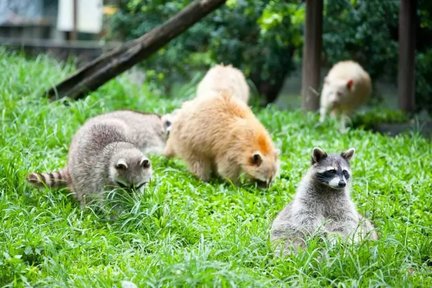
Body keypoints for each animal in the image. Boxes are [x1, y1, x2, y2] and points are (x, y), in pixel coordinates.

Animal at [26, 109, 166, 205]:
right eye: (123, 186)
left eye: (138, 186)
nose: (130, 198)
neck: (122, 148)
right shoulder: (102, 177)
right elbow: (110, 203)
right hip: (80, 176)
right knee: (85, 194)